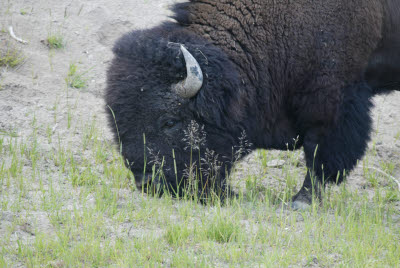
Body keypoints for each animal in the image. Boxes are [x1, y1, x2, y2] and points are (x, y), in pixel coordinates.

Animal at [106, 0, 400, 209]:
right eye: (116, 122)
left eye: (169, 121)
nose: (147, 183)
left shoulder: (331, 102)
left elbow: (318, 152)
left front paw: (302, 201)